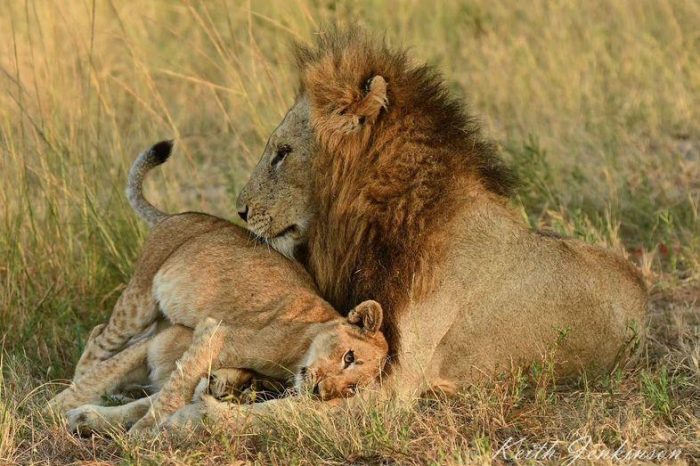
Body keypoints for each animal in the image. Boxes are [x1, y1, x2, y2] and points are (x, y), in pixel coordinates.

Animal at [49, 140, 388, 432]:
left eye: (352, 388)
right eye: (348, 357)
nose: (320, 391)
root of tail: (174, 215)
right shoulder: (218, 333)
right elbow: (173, 392)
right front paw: (142, 435)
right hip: (139, 300)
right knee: (99, 338)